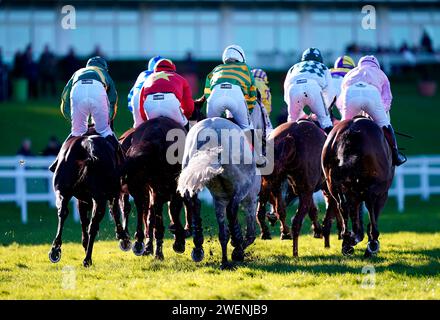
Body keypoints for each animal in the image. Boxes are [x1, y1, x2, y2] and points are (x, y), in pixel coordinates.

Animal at [320, 117, 396, 258]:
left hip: (333, 186)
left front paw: (352, 238)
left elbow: (354, 212)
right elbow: (373, 213)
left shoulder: (352, 193)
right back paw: (372, 243)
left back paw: (346, 239)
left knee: (342, 206)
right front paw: (369, 241)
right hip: (374, 189)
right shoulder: (382, 193)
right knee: (370, 206)